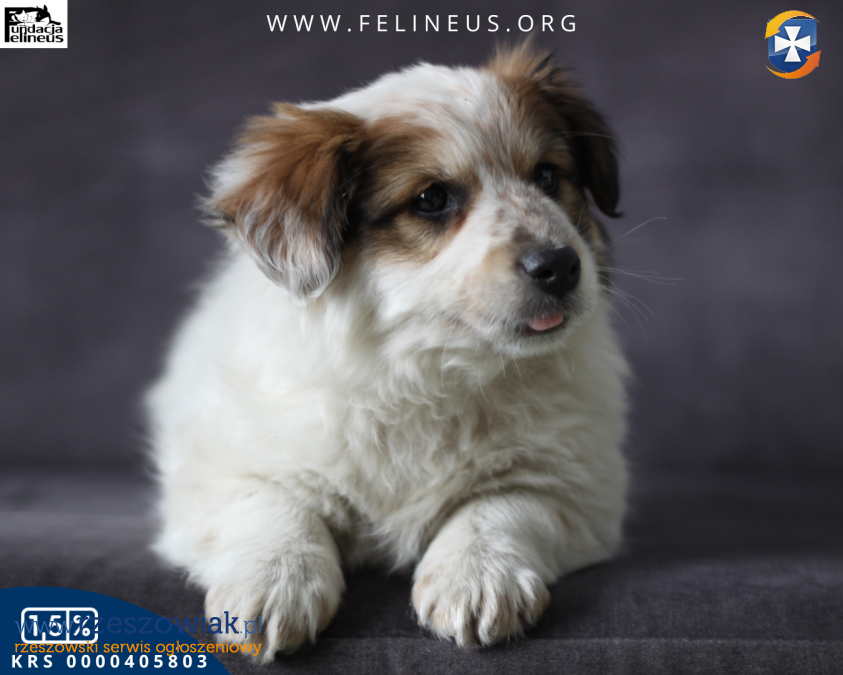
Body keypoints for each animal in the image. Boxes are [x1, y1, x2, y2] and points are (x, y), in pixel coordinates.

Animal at [147, 42, 629, 661]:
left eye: (548, 175)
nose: (560, 265)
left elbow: (502, 504)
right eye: (431, 199)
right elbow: (273, 504)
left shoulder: (577, 487)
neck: (429, 371)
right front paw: (273, 581)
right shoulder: (214, 474)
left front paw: (477, 574)